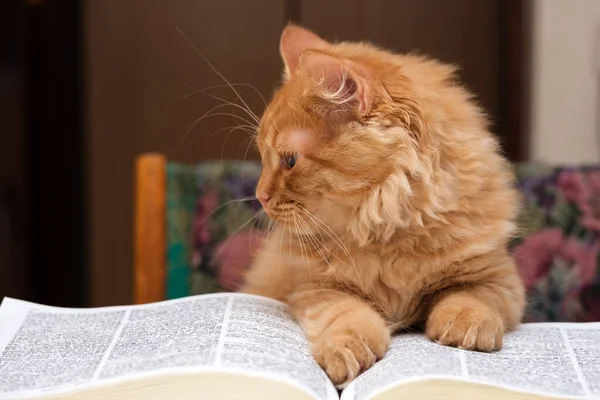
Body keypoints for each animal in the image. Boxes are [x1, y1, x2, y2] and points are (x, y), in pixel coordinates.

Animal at [240, 25, 524, 388]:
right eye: (264, 158)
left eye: (290, 160)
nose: (260, 195)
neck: (387, 232)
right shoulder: (314, 288)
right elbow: (347, 313)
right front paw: (346, 351)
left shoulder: (498, 279)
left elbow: (470, 295)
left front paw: (464, 327)